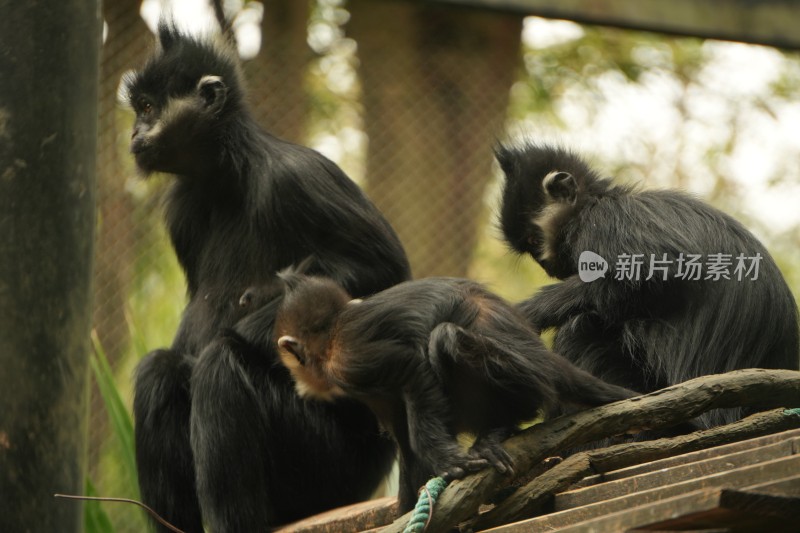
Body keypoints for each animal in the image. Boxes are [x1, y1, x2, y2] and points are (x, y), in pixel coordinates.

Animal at [122, 22, 410, 528]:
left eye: (149, 108)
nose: (135, 131)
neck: (225, 179)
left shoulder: (293, 177)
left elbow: (387, 273)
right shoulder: (181, 209)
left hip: (327, 463)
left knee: (219, 364)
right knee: (158, 370)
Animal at [496, 141, 796, 428]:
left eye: (534, 241)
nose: (543, 264)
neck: (595, 202)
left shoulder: (605, 221)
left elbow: (661, 270)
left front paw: (532, 311)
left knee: (581, 330)